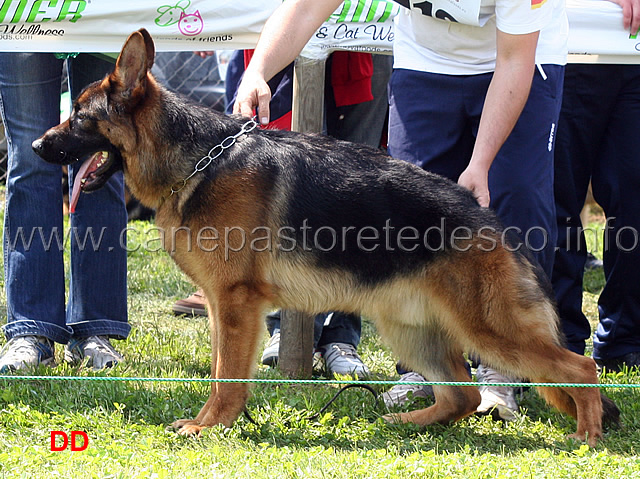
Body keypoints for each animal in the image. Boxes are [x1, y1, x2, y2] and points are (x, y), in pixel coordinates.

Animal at [32, 29, 616, 446]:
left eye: (78, 117)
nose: (37, 146)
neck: (197, 161)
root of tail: (486, 217)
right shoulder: (224, 306)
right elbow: (222, 370)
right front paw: (212, 422)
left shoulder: (236, 304)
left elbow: (228, 376)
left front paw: (210, 427)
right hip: (409, 328)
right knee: (463, 396)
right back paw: (410, 422)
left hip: (492, 331)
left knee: (580, 367)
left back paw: (586, 435)